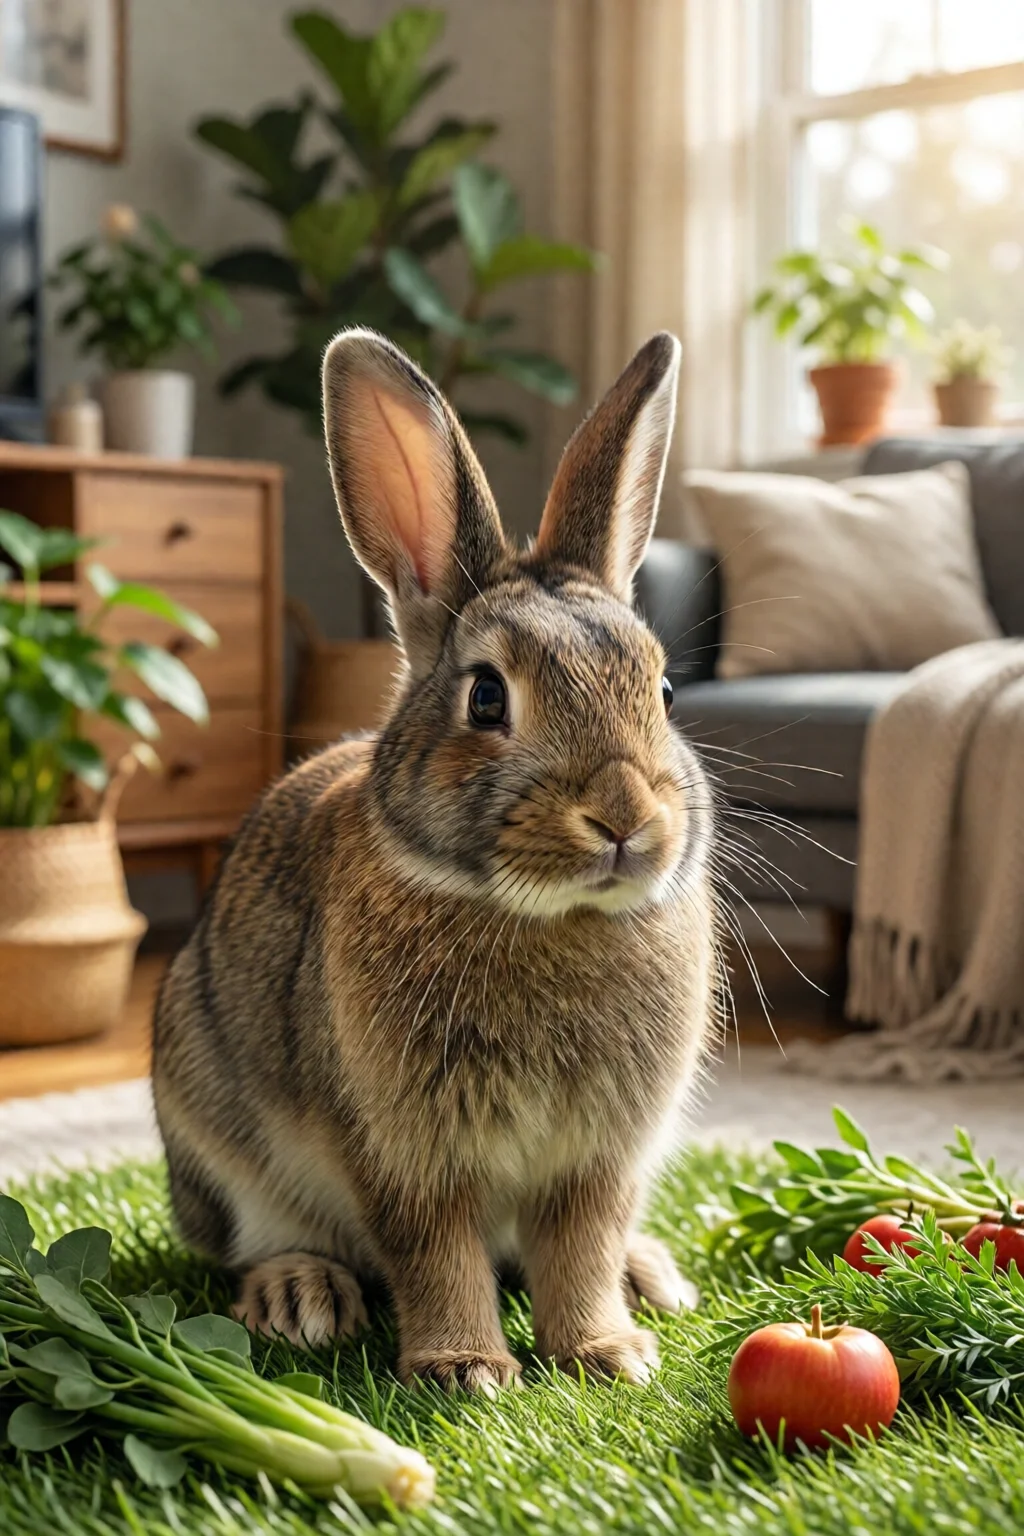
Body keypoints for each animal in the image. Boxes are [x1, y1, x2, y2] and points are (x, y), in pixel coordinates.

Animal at [152, 327, 721, 1395]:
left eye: (663, 691)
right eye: (488, 698)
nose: (624, 818)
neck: (545, 917)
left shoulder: (598, 1159)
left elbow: (579, 1246)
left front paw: (606, 1352)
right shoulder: (404, 1150)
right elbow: (434, 1251)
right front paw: (465, 1370)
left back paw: (651, 1278)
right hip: (211, 1127)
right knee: (252, 1240)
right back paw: (299, 1296)